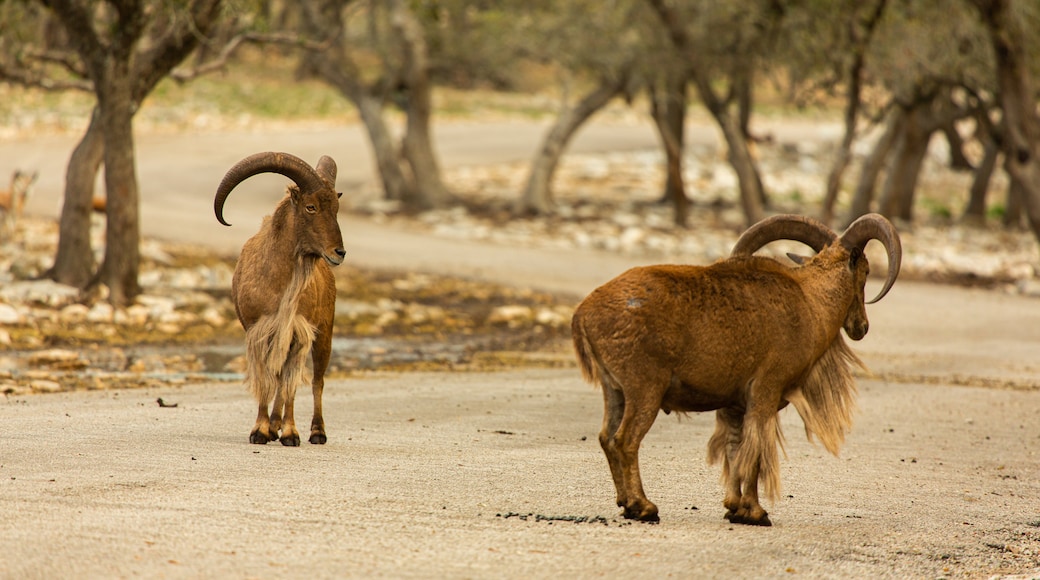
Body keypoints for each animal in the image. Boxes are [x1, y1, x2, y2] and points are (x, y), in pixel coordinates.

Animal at [213, 152, 347, 446]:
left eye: (336, 208)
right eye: (311, 207)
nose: (339, 252)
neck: (278, 283)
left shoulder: (298, 331)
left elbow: (290, 384)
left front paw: (291, 433)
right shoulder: (259, 330)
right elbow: (266, 380)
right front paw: (261, 431)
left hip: (325, 331)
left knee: (317, 381)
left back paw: (316, 432)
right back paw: (274, 424)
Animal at [574, 214, 898, 528]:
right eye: (865, 272)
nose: (861, 327)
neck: (810, 303)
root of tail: (584, 312)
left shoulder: (733, 404)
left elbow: (734, 449)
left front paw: (734, 507)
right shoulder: (765, 390)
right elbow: (754, 451)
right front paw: (755, 512)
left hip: (614, 389)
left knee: (606, 437)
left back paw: (625, 503)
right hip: (644, 388)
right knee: (625, 440)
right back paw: (643, 507)